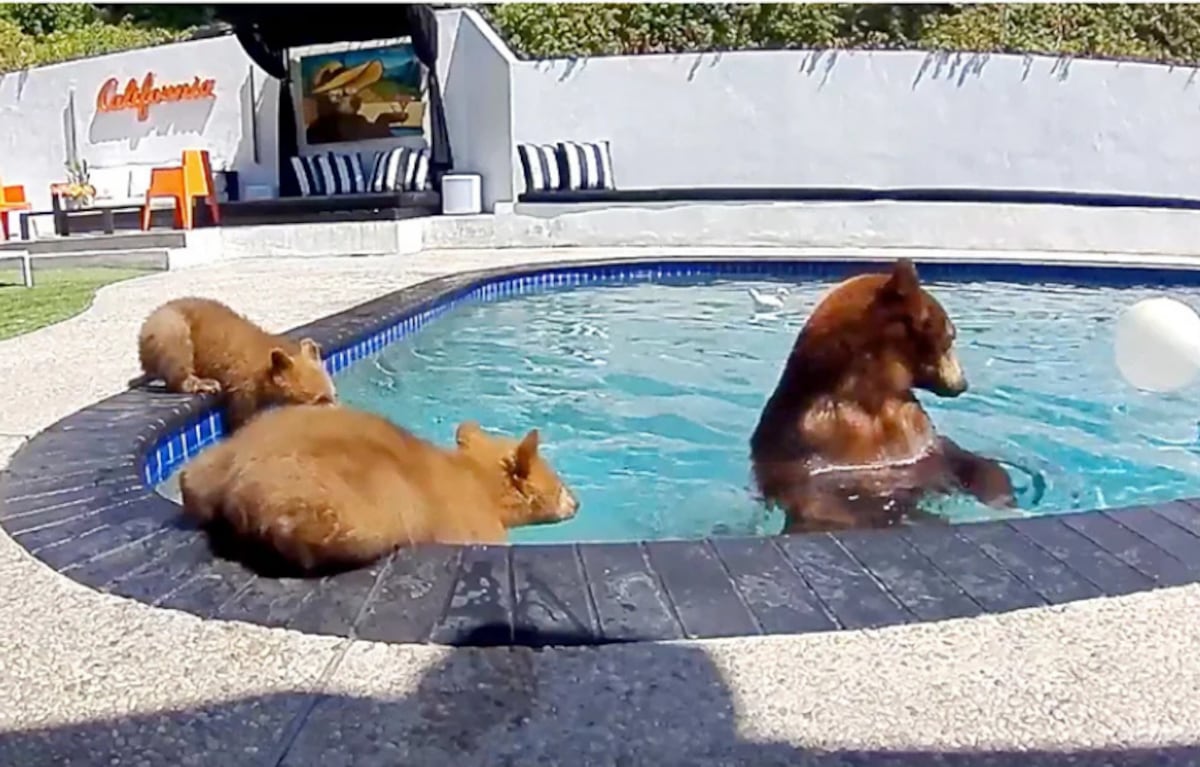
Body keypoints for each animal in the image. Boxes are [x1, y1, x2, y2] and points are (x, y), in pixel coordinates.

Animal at [135, 297, 336, 431]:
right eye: (320, 399)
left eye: (333, 393)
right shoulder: (243, 382)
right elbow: (242, 415)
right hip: (169, 326)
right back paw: (203, 383)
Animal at [749, 258, 1014, 534]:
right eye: (951, 337)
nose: (962, 383)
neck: (870, 396)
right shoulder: (817, 447)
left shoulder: (915, 437)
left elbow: (958, 457)